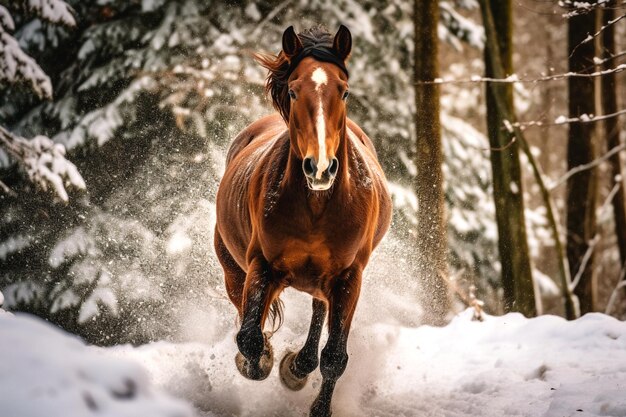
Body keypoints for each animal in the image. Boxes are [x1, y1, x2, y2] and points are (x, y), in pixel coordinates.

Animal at [214, 26, 390, 416]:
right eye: (294, 91)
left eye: (344, 90)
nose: (320, 168)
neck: (315, 208)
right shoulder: (261, 265)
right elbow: (249, 337)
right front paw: (260, 360)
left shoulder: (349, 276)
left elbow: (335, 357)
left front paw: (314, 400)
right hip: (233, 268)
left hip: (325, 281)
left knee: (319, 313)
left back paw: (298, 366)